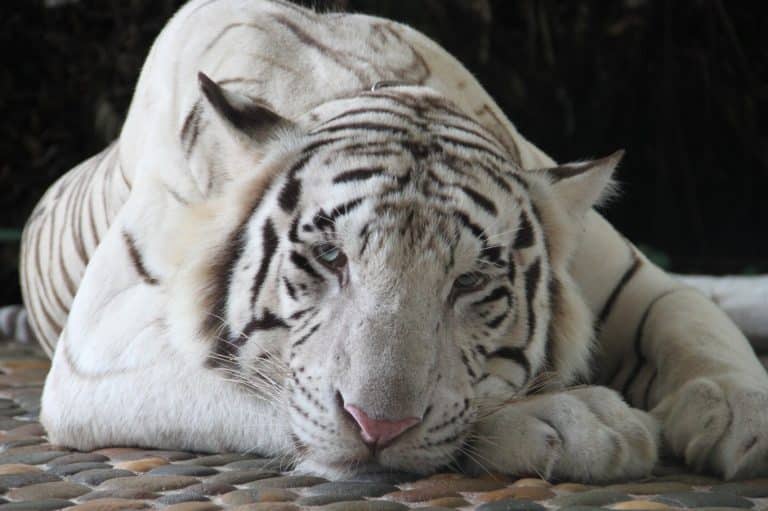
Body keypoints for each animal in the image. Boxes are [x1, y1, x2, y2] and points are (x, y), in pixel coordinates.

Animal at [21, 0, 768, 482]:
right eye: (330, 256)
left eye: (470, 281)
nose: (378, 426)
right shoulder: (97, 345)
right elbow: (262, 385)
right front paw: (577, 419)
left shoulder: (634, 277)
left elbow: (693, 325)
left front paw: (743, 413)